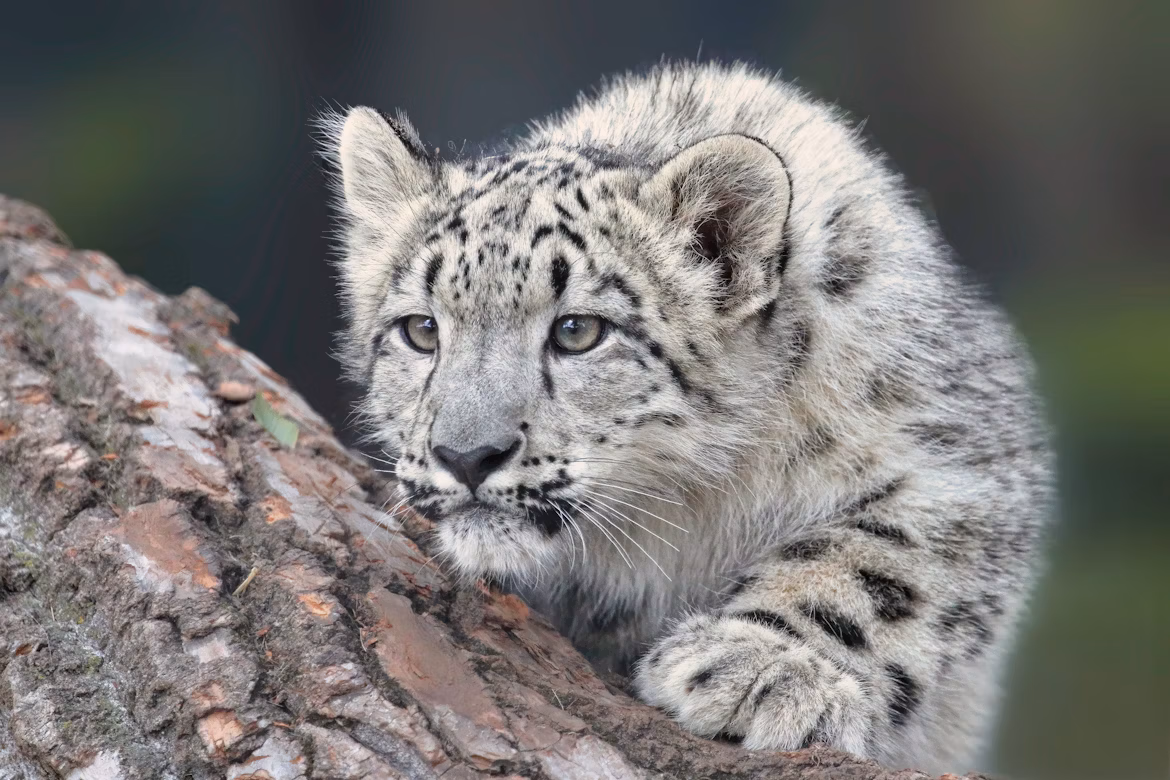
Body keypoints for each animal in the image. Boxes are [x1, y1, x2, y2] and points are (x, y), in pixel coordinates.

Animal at [317, 60, 1053, 774]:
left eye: (578, 331)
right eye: (421, 330)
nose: (467, 456)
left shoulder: (960, 456)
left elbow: (878, 559)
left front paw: (763, 669)